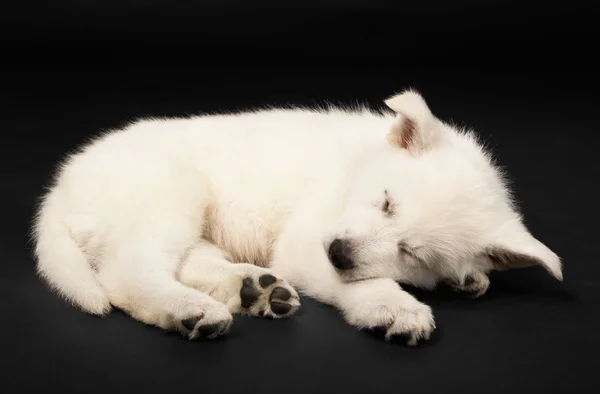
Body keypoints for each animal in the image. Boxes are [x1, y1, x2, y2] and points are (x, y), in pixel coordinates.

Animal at [31, 89, 564, 344]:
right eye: (386, 202)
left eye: (411, 252)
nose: (340, 253)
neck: (355, 169)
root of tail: (59, 188)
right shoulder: (307, 241)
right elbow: (361, 281)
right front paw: (394, 307)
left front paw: (468, 278)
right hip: (173, 189)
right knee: (127, 272)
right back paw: (189, 310)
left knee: (184, 260)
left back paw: (254, 289)